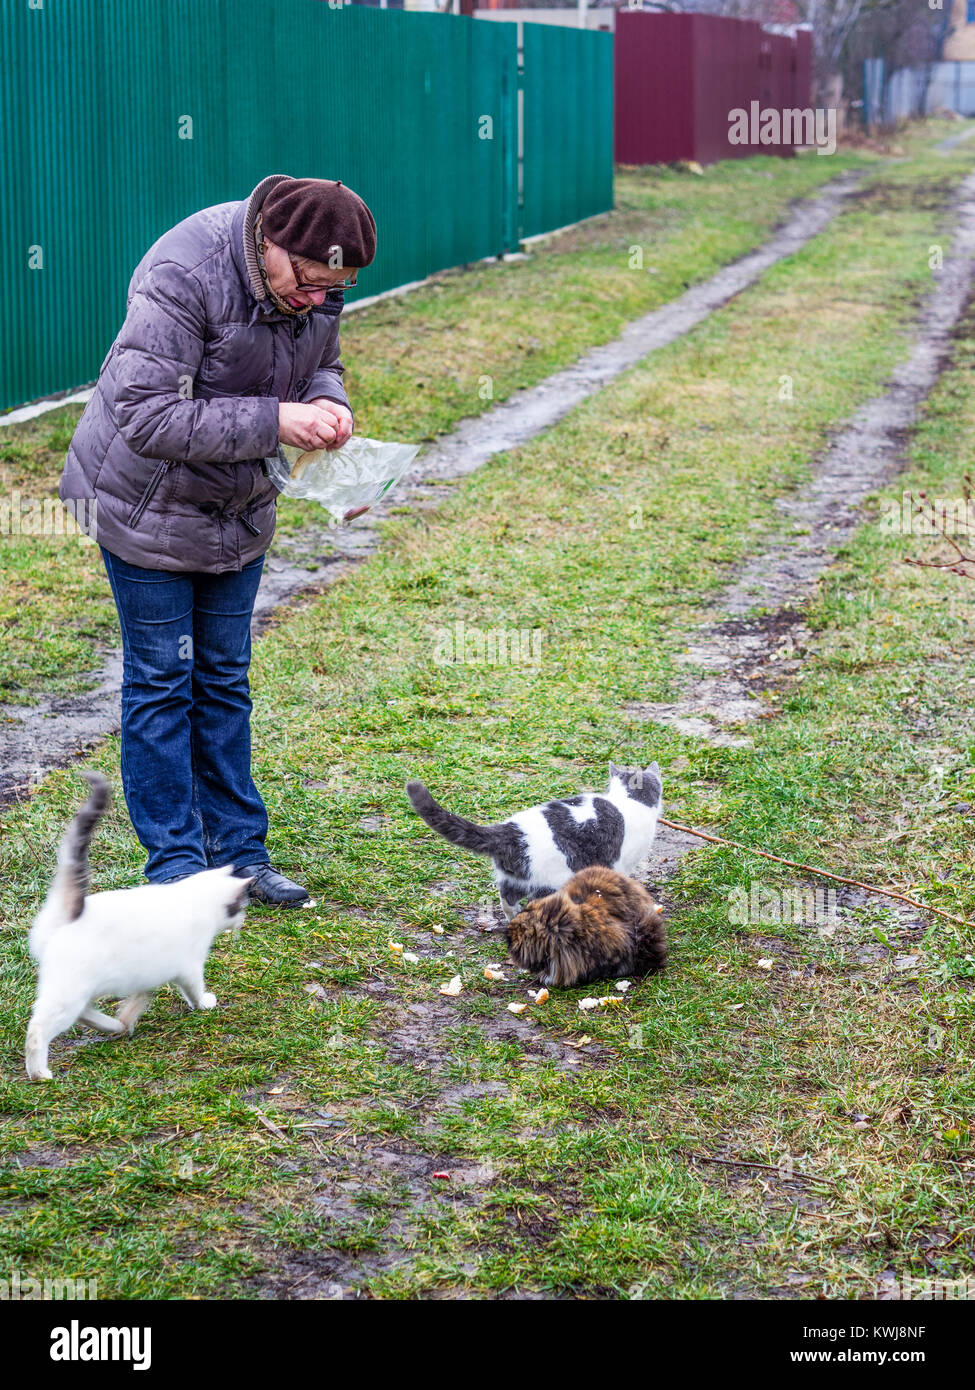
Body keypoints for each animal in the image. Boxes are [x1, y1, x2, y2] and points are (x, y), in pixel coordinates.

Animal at [26, 772, 248, 1084]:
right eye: (240, 906)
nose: (243, 920)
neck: (192, 897)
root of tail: (72, 913)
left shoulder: (149, 975)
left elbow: (139, 997)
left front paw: (129, 1016)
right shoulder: (189, 967)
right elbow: (194, 990)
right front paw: (204, 1003)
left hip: (83, 989)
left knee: (84, 1013)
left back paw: (114, 1026)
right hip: (69, 993)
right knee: (38, 1029)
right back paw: (40, 1073)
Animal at [403, 767, 662, 917]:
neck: (628, 799)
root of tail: (510, 831)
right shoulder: (622, 862)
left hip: (517, 878)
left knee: (507, 898)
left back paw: (514, 915)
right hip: (552, 880)